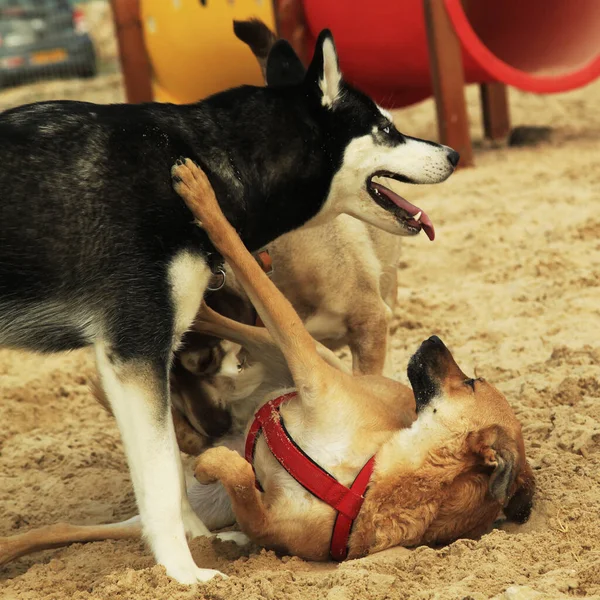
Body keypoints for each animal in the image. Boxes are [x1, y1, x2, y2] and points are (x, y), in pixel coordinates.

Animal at [1, 30, 460, 584]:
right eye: (387, 129)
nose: (454, 153)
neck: (204, 157)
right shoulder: (136, 349)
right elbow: (161, 477)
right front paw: (184, 573)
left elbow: (171, 477)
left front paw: (203, 543)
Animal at [177, 159, 536, 564]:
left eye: (472, 382)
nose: (433, 338)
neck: (365, 486)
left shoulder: (266, 523)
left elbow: (239, 480)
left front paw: (211, 465)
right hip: (297, 349)